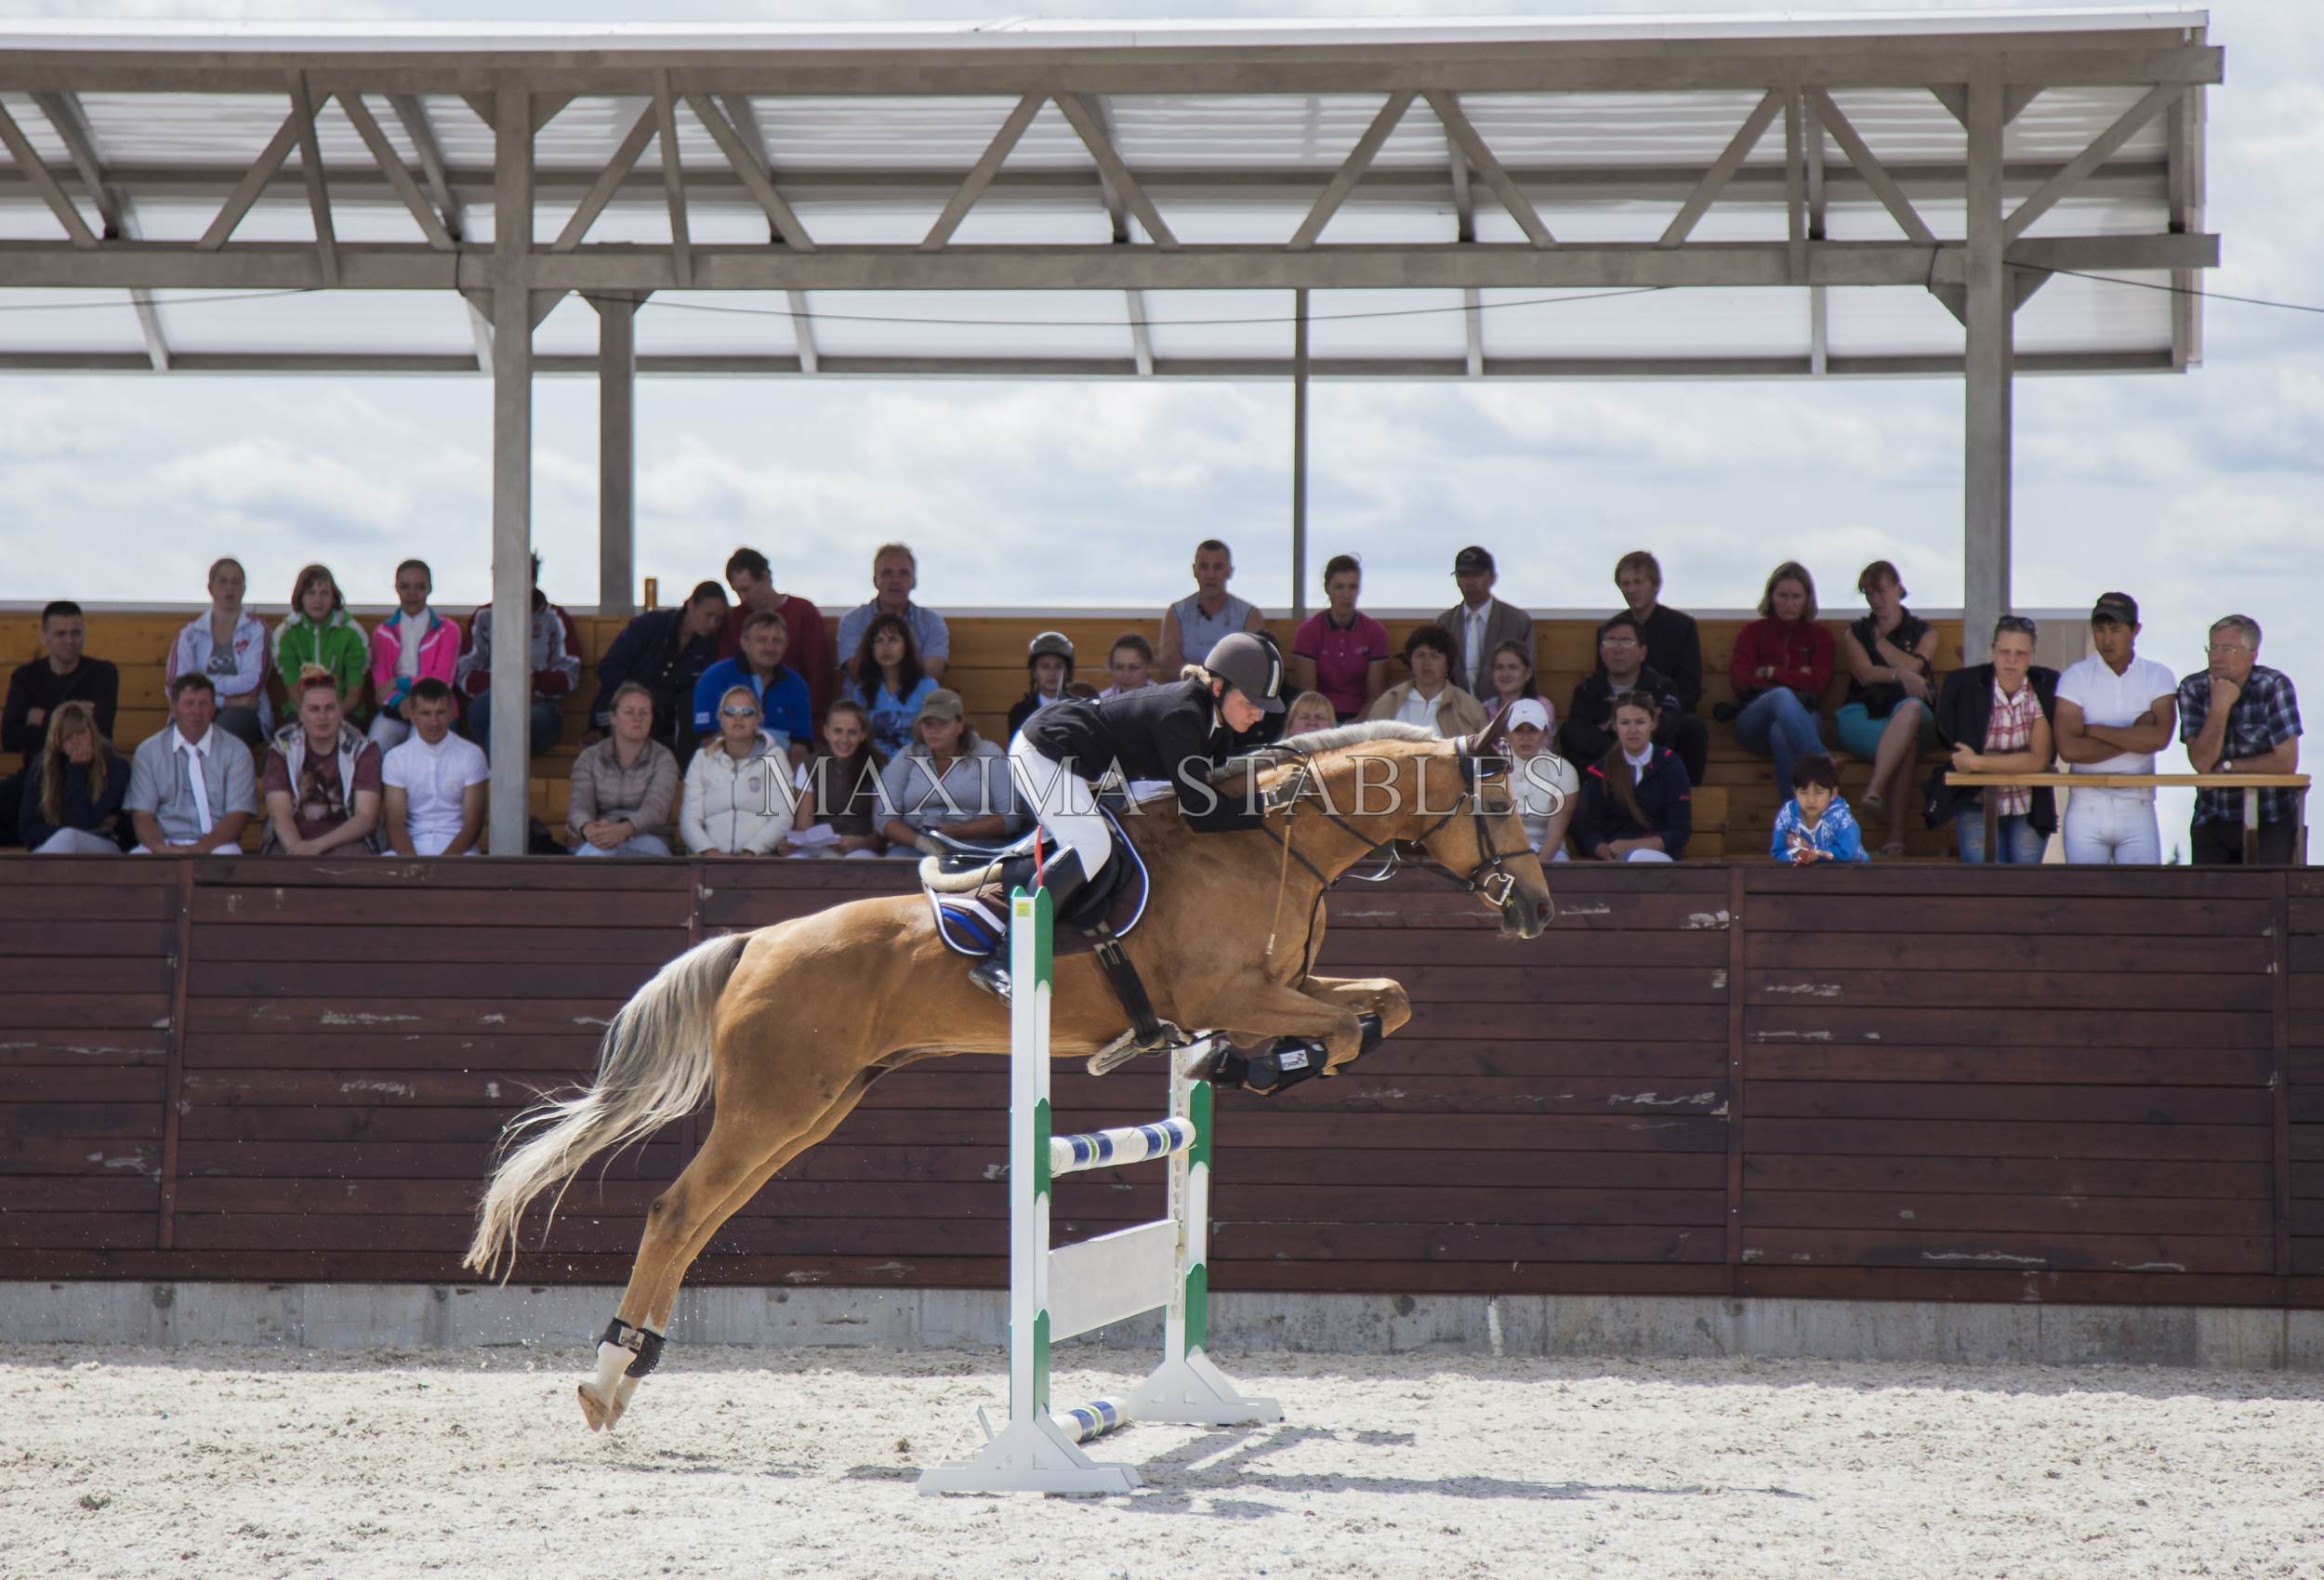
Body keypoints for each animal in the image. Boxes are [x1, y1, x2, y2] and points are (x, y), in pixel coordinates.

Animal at [462, 720, 1552, 1422]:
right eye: (1500, 800)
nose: (1537, 910)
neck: (1266, 844)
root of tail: (756, 942)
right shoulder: (1240, 992)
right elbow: (1348, 1020)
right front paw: (1263, 1062)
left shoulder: (1284, 983)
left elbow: (1386, 1001)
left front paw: (1258, 1063)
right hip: (777, 1104)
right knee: (678, 1210)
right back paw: (606, 1381)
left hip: (813, 1107)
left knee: (696, 1218)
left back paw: (628, 1369)